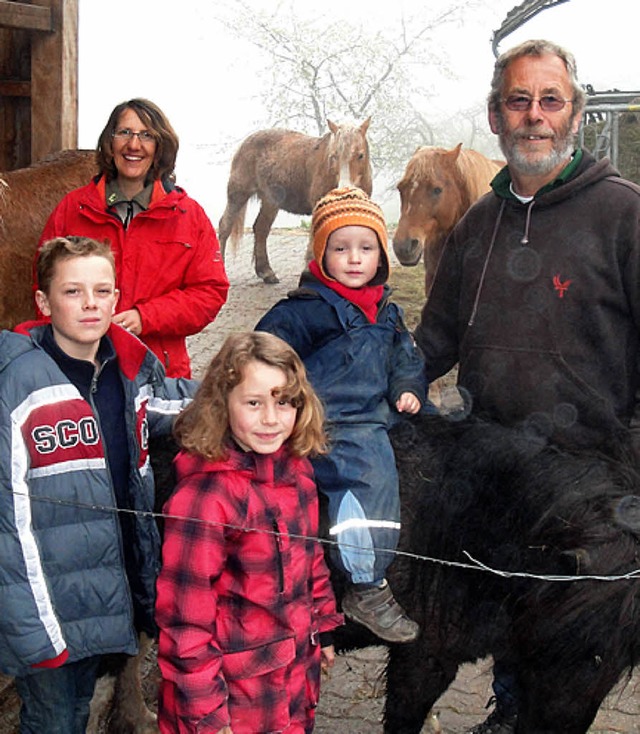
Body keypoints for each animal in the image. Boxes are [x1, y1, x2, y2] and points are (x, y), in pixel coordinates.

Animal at [219, 118, 372, 284]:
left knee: (261, 229)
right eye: (334, 156)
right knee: (225, 226)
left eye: (360, 155)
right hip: (238, 193)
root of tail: (246, 142)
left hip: (270, 200)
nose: (345, 189)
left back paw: (266, 272)